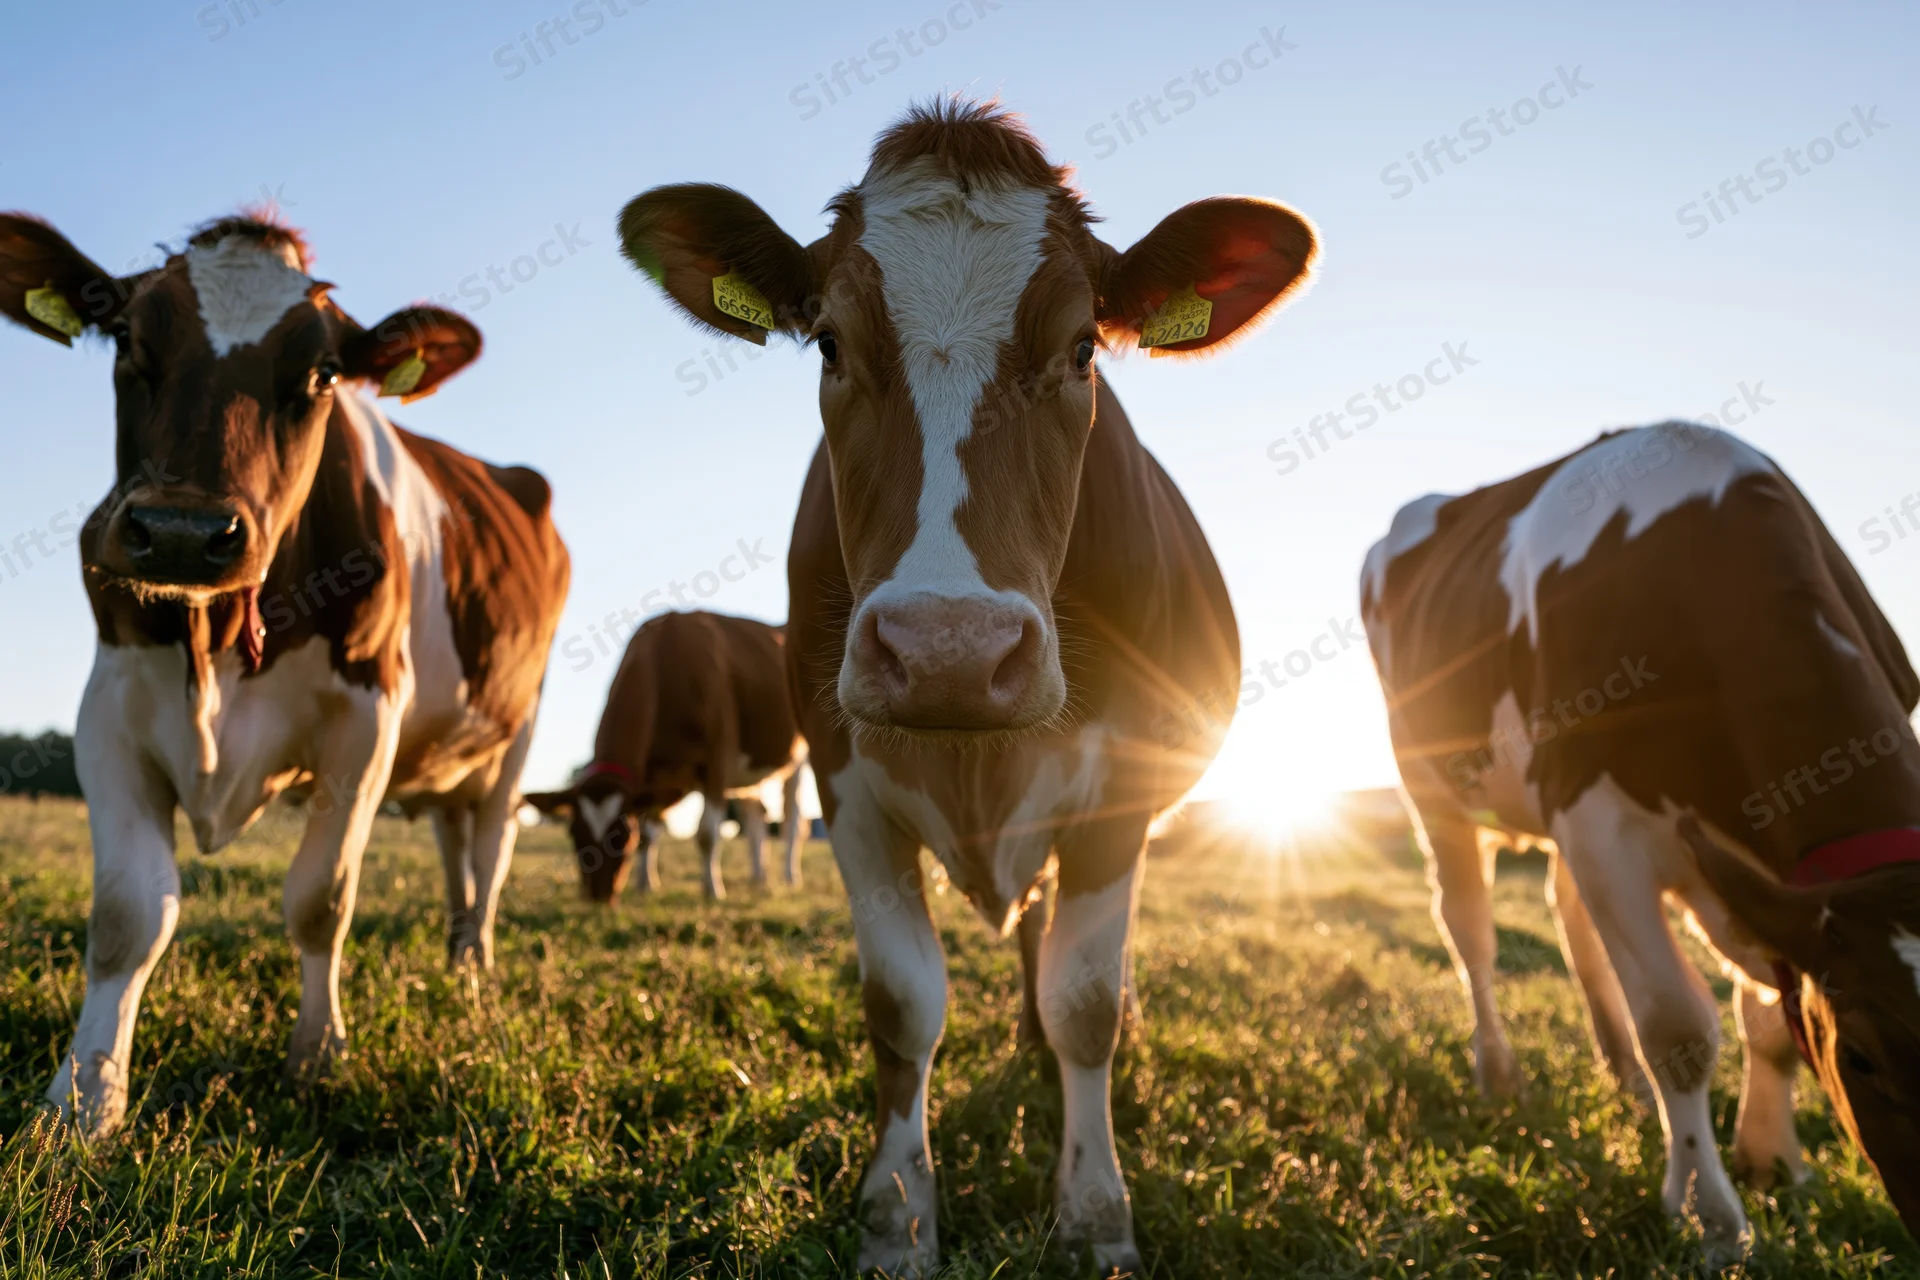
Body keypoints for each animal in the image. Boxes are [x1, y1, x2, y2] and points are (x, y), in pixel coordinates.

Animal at [0, 212, 570, 1134]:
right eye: (127, 339)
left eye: (324, 372)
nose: (184, 532)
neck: (218, 640)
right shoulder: (109, 710)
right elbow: (129, 914)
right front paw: (86, 1098)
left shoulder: (368, 721)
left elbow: (320, 900)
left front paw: (318, 1057)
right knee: (454, 841)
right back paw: (454, 955)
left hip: (518, 728)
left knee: (491, 844)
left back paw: (474, 971)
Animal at [523, 610, 810, 900]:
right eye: (574, 833)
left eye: (622, 836)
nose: (597, 896)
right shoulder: (651, 776)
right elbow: (649, 834)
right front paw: (646, 885)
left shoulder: (718, 757)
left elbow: (706, 834)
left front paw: (712, 890)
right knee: (756, 815)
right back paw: (758, 876)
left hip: (798, 758)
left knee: (792, 820)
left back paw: (790, 877)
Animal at [617, 99, 1317, 1273]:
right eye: (829, 342)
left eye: (1081, 349)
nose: (949, 649)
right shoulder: (848, 790)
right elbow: (903, 1005)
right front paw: (897, 1216)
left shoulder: (1120, 793)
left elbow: (1087, 1001)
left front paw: (1095, 1213)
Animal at [1362, 421, 1920, 1261]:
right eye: (1859, 1056)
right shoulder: (1604, 825)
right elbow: (1679, 1027)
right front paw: (1708, 1214)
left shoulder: (1747, 880)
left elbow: (1770, 1022)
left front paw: (1771, 1159)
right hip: (1433, 787)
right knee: (1469, 930)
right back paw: (1499, 1073)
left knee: (1568, 913)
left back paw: (1619, 1067)